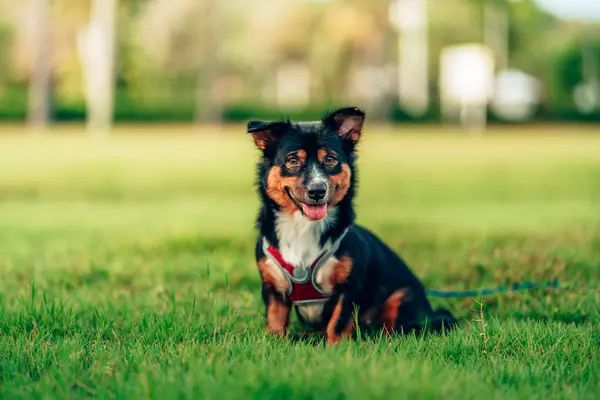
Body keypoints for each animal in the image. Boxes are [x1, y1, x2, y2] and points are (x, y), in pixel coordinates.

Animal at [248, 106, 454, 344]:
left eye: (330, 159)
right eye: (292, 160)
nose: (317, 190)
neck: (303, 227)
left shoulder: (349, 287)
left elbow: (338, 323)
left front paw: (335, 347)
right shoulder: (273, 289)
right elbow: (275, 323)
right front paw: (276, 343)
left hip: (403, 296)